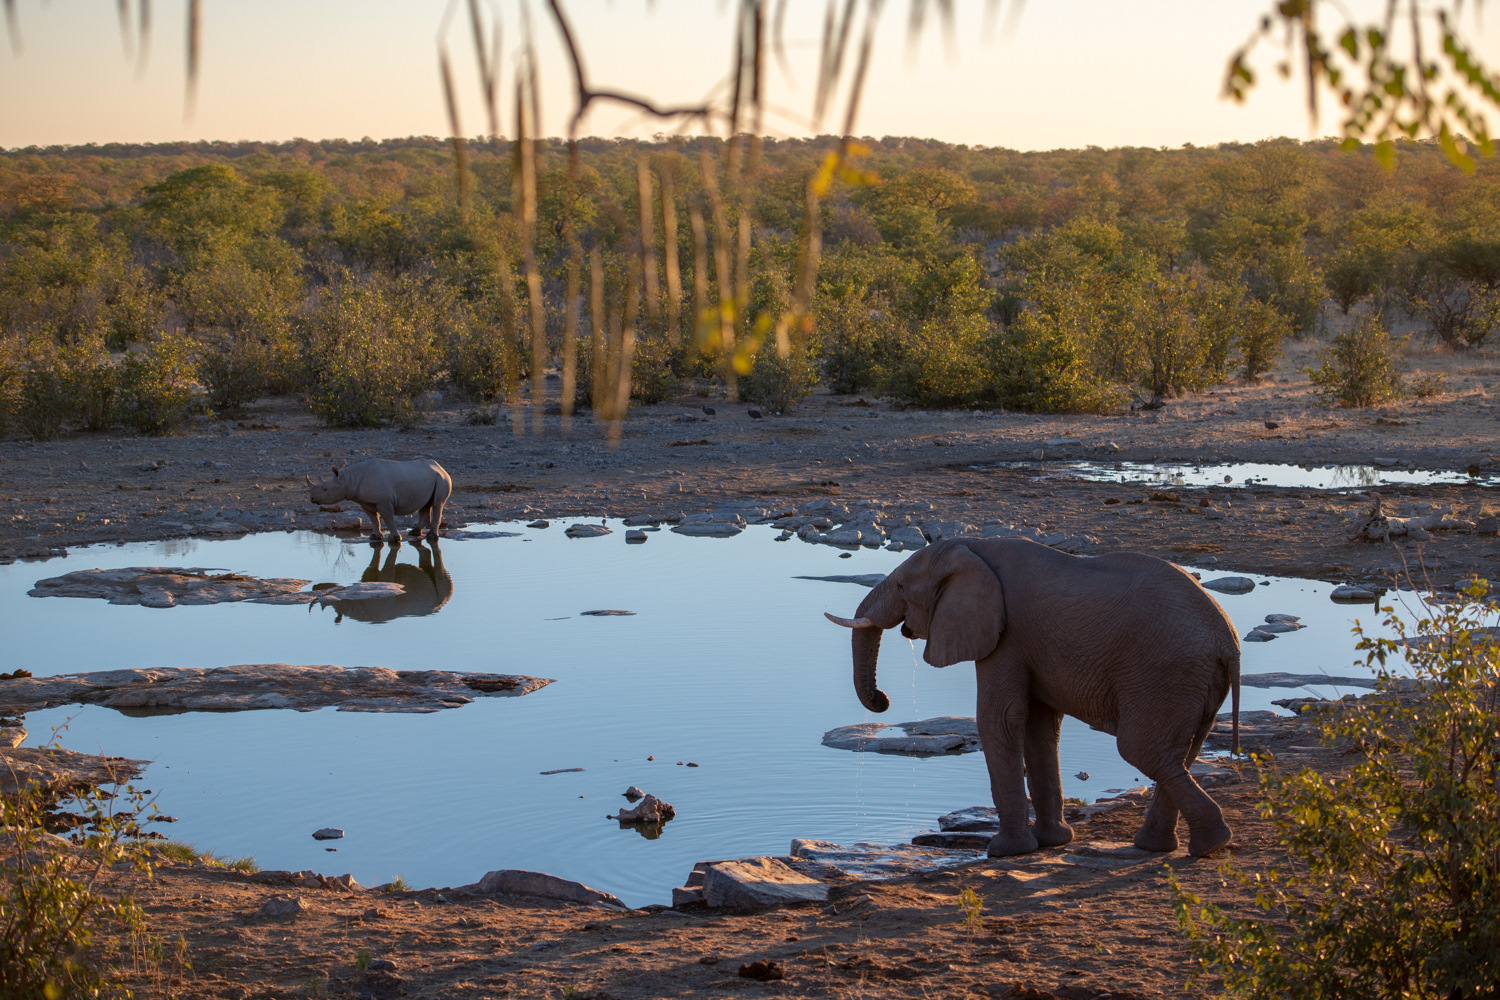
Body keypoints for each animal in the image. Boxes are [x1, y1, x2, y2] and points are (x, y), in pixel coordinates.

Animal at [828, 539, 1236, 863]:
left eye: (900, 584)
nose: (882, 699)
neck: (973, 547)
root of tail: (1227, 640)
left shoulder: (1006, 634)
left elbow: (1000, 718)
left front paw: (1005, 851)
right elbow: (1040, 727)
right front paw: (1052, 842)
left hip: (1165, 674)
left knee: (1143, 751)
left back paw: (1208, 845)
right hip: (1193, 682)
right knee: (1181, 754)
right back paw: (1173, 847)